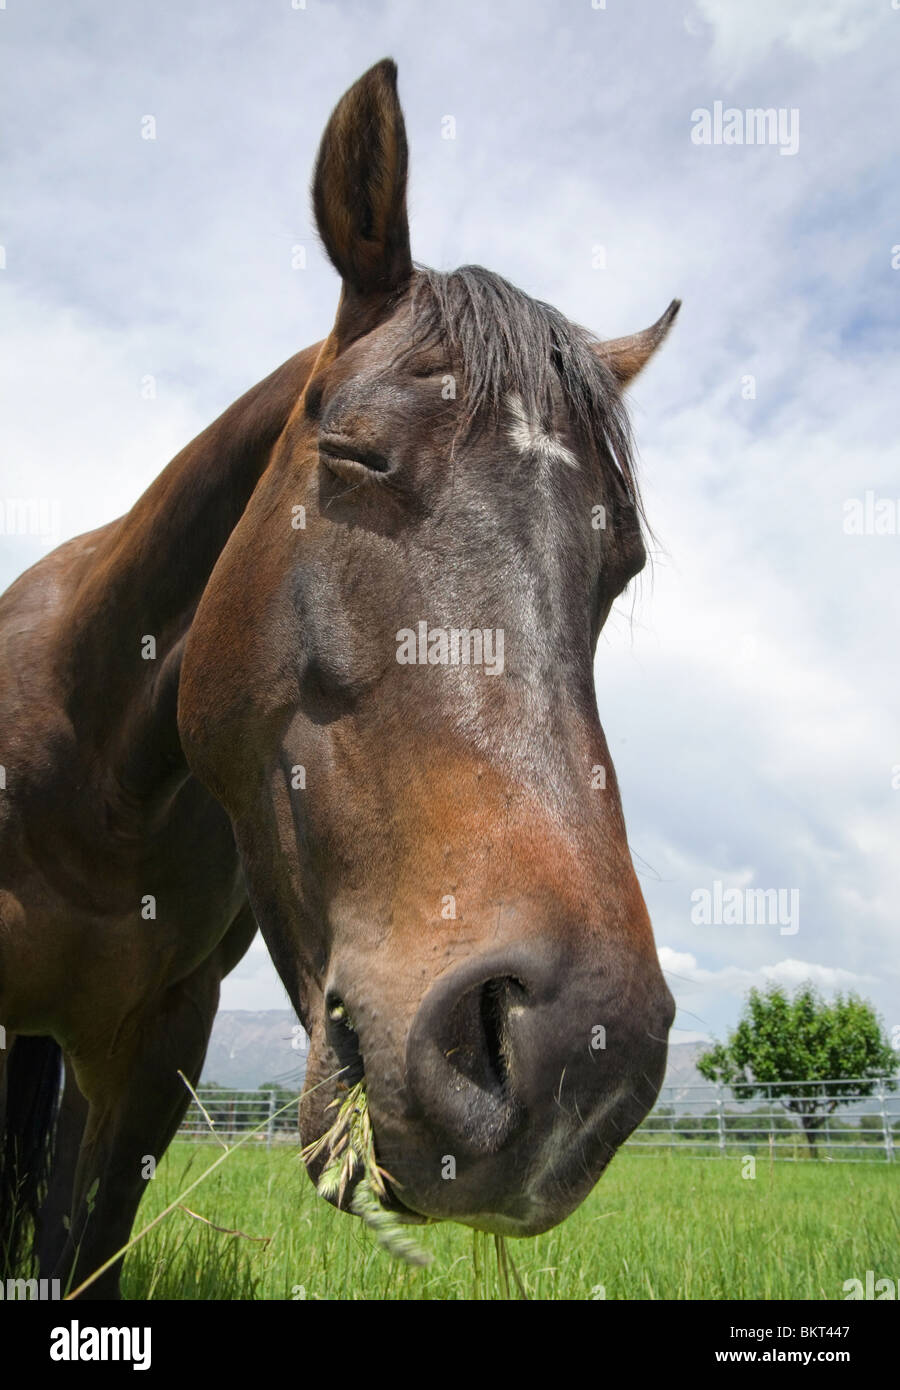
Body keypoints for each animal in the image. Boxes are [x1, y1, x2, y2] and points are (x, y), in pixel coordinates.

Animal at [0, 58, 679, 1298]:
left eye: (621, 566)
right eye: (355, 454)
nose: (575, 1052)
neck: (98, 771)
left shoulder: (153, 1052)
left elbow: (83, 1250)